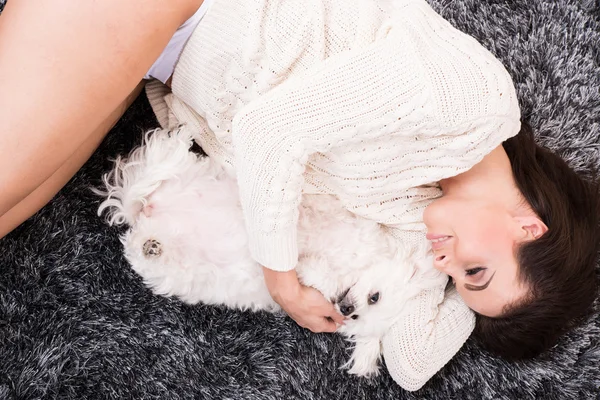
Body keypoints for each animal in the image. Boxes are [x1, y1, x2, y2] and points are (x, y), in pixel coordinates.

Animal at [96, 129, 438, 378]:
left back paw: (151, 245)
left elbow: (317, 277)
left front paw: (310, 270)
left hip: (177, 271)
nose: (345, 308)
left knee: (139, 240)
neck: (349, 270)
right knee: (149, 177)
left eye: (354, 317)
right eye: (374, 297)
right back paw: (171, 148)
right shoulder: (331, 217)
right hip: (192, 178)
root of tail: (148, 215)